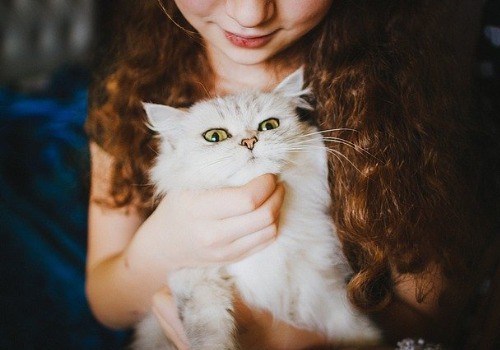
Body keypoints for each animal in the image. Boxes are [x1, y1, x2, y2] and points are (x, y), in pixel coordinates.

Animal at [133, 69, 378, 350]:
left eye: (269, 126)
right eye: (214, 136)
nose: (250, 141)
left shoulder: (320, 286)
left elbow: (353, 326)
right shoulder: (196, 279)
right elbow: (210, 332)